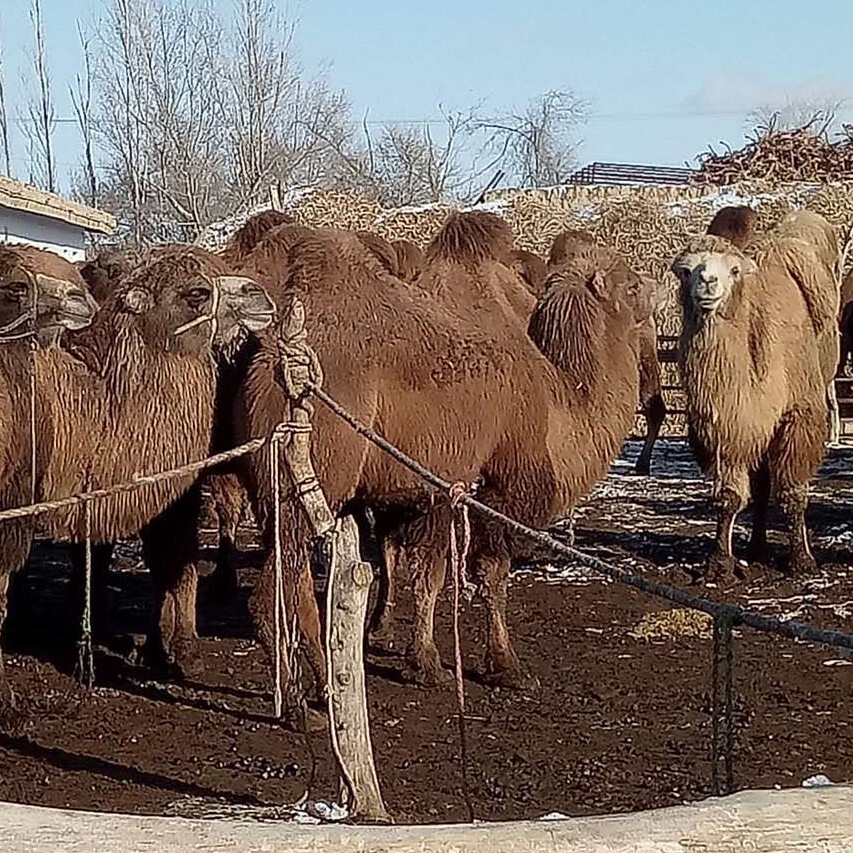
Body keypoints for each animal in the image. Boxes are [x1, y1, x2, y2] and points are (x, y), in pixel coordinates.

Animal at [226, 215, 644, 712]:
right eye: (633, 284)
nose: (662, 290)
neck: (558, 402)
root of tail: (266, 354)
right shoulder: (493, 482)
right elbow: (484, 573)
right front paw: (501, 667)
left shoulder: (423, 489)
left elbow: (423, 574)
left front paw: (419, 660)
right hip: (307, 474)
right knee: (274, 591)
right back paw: (302, 702)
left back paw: (316, 687)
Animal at [672, 230, 832, 584]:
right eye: (686, 271)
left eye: (733, 271)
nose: (708, 281)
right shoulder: (728, 430)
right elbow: (728, 497)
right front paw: (719, 564)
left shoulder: (798, 416)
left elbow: (792, 493)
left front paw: (802, 561)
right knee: (761, 486)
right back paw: (756, 548)